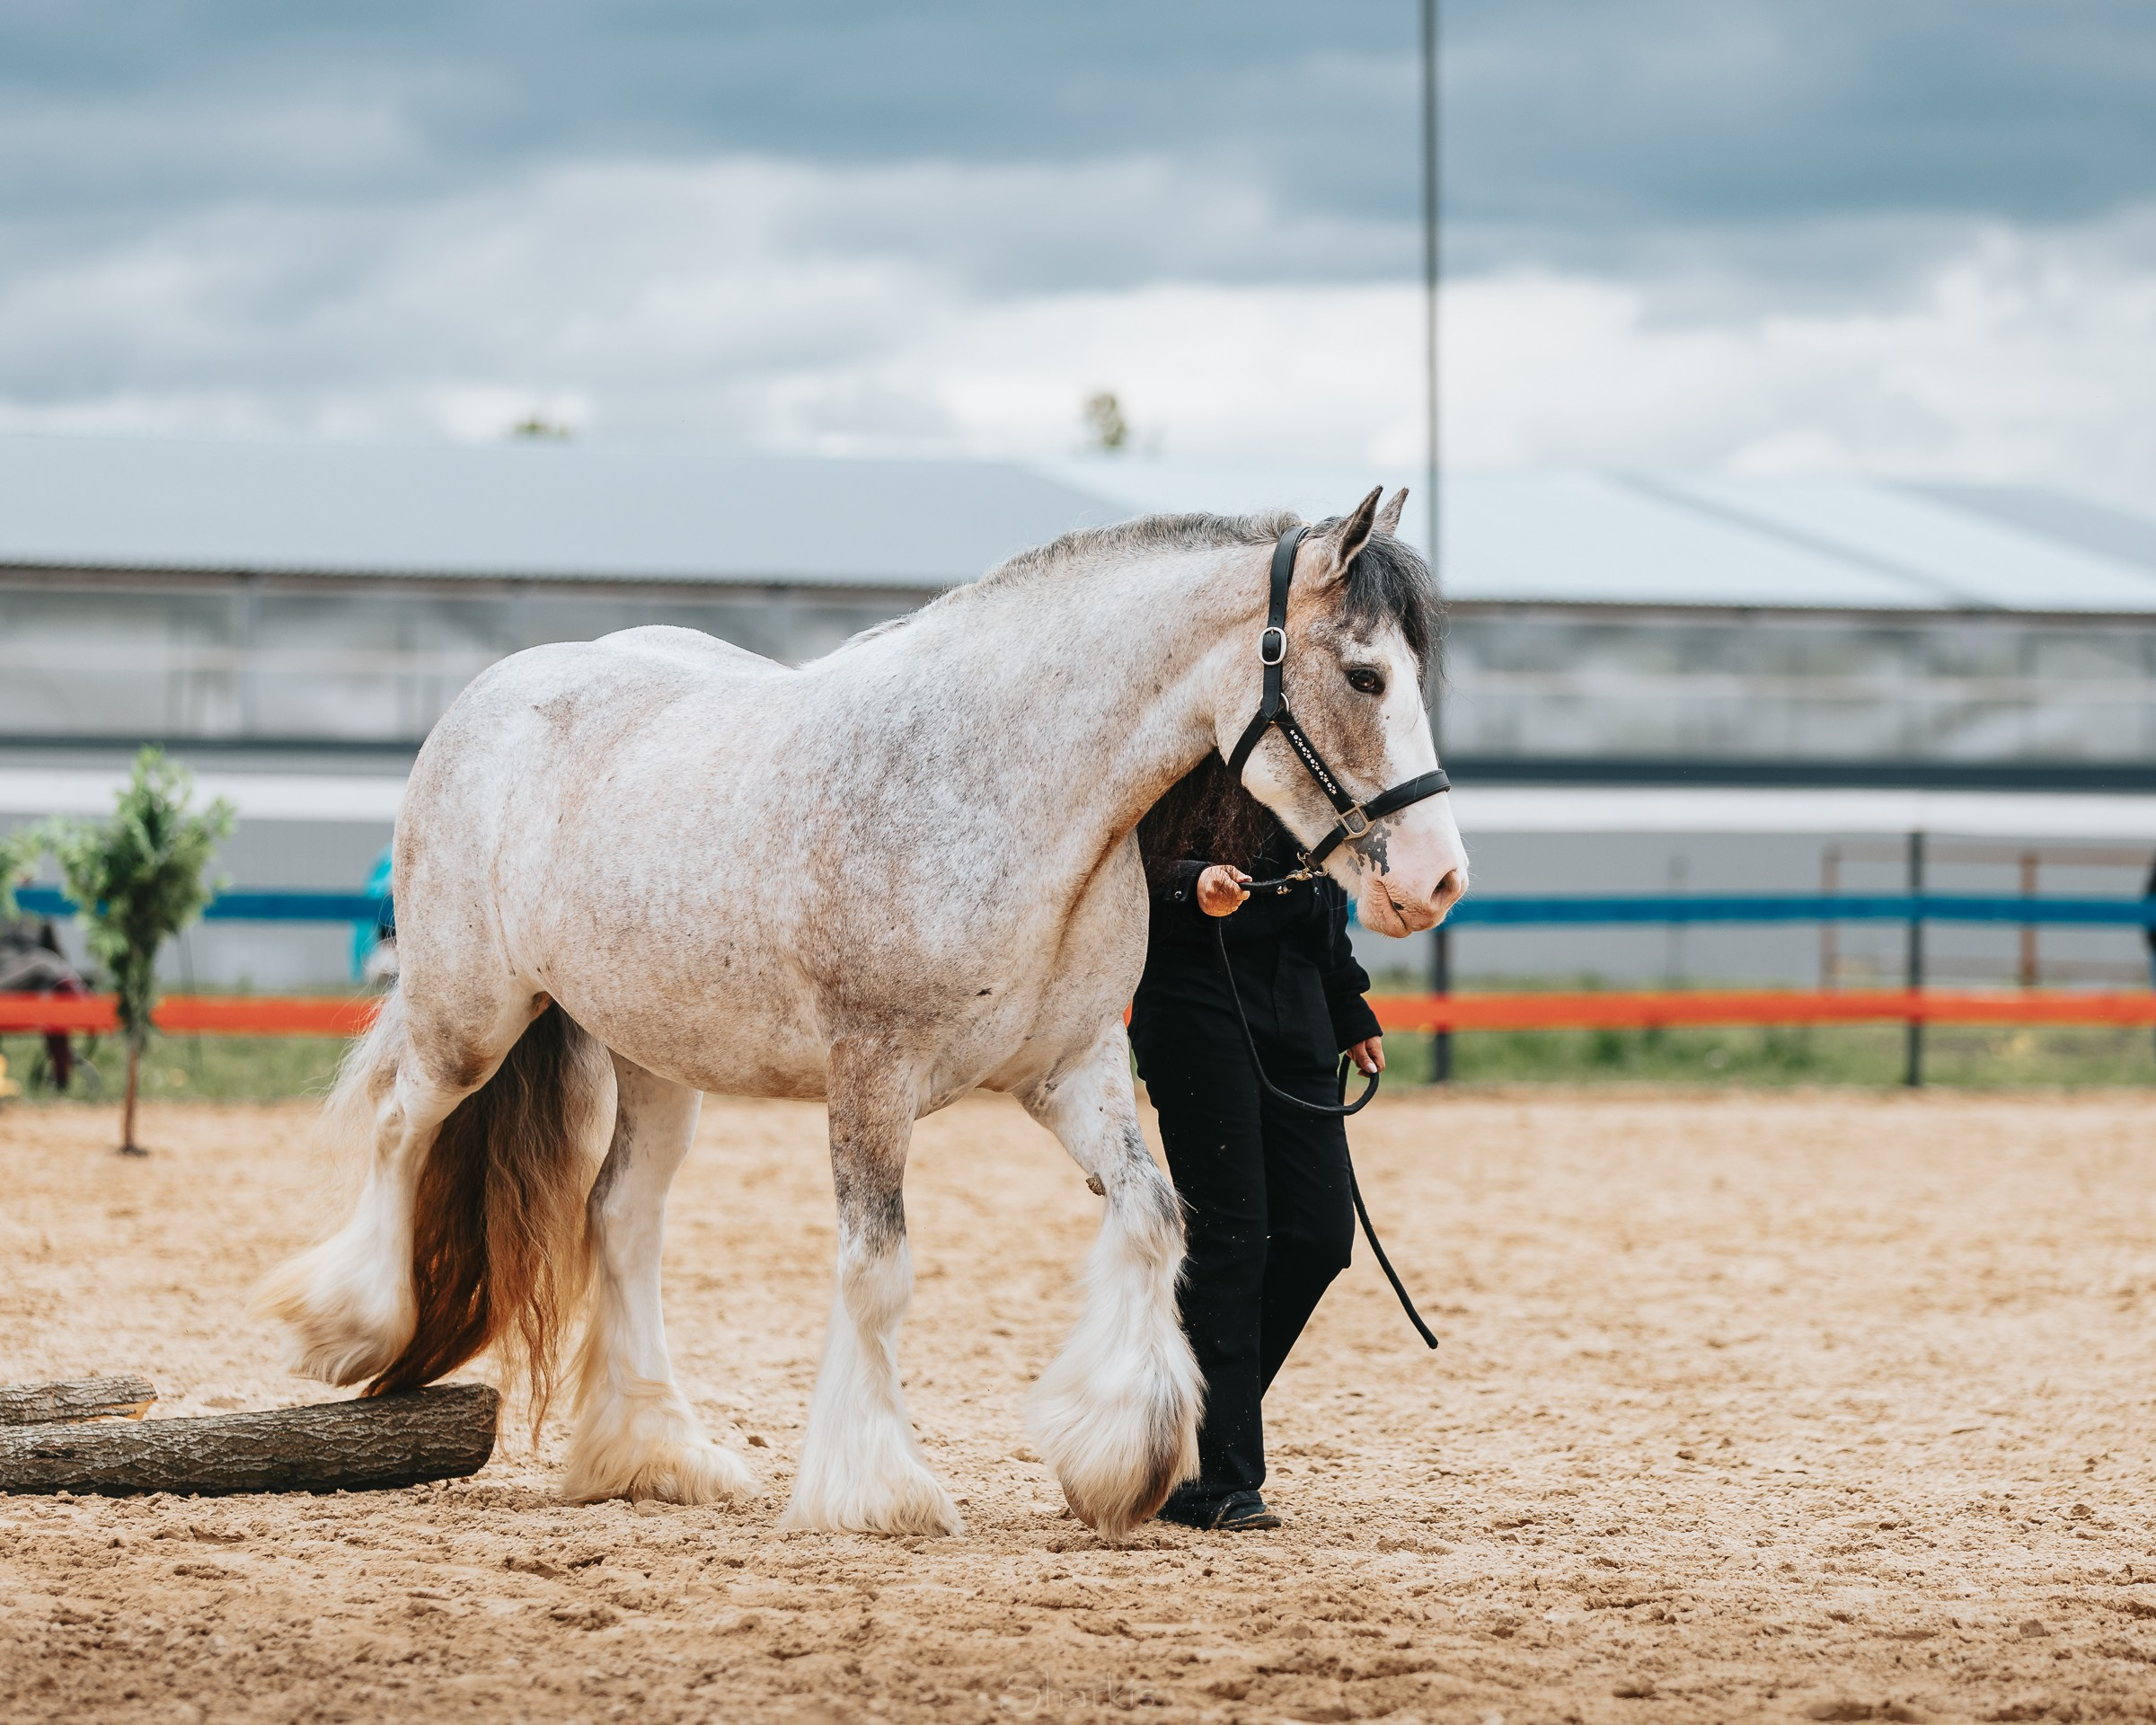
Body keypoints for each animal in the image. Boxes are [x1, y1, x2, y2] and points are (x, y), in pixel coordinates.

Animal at [263, 485, 1469, 1540]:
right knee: (401, 1125)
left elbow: (1153, 1217)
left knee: (621, 1218)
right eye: (1364, 675)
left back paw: (656, 1454)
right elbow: (877, 1270)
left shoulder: (1071, 1071)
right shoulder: (873, 1077)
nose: (1436, 880)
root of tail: (494, 694)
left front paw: (1119, 1463)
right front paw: (878, 1490)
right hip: (471, 1014)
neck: (1006, 789)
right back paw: (348, 1331)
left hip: (658, 1057)